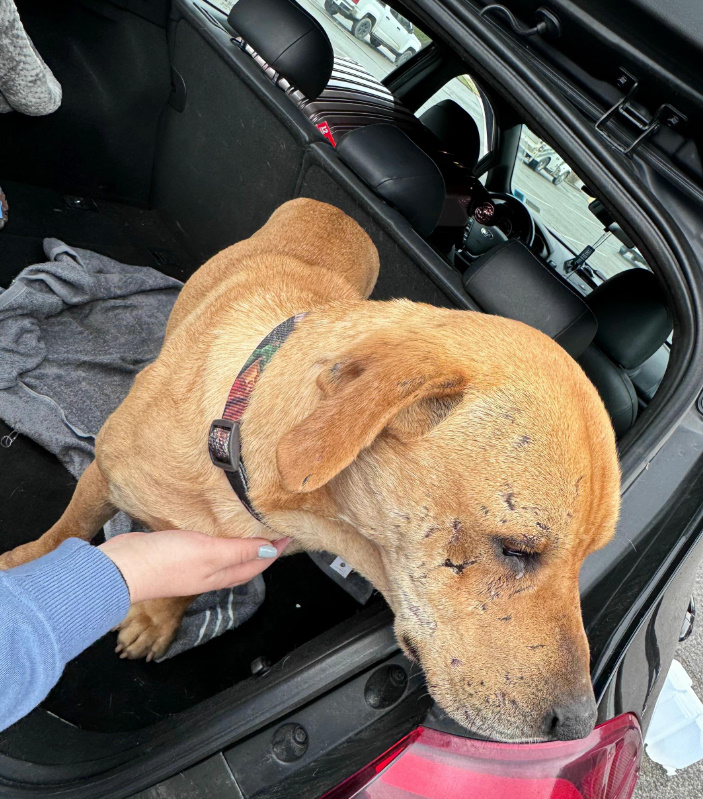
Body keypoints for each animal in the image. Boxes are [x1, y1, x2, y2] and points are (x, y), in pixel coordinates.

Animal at [0, 200, 620, 744]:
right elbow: (68, 533)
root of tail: (336, 209)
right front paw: (28, 565)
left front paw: (159, 619)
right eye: (516, 549)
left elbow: (184, 581)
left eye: (589, 555)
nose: (579, 724)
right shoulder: (104, 474)